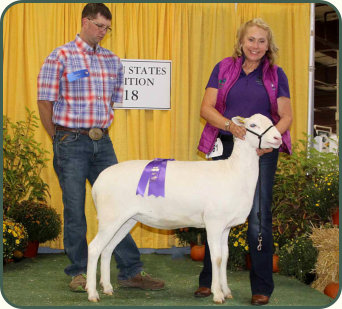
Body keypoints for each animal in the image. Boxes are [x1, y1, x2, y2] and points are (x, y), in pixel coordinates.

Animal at [87, 113, 282, 304]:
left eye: (272, 122)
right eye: (253, 125)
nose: (278, 138)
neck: (234, 171)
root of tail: (98, 182)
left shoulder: (226, 227)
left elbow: (225, 257)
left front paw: (226, 291)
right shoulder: (214, 222)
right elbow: (217, 258)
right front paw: (217, 294)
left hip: (126, 220)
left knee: (107, 249)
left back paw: (107, 288)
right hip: (110, 217)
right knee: (94, 248)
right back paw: (92, 293)